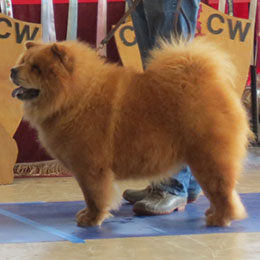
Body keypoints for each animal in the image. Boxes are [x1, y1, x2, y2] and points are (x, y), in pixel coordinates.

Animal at [10, 37, 252, 226]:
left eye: (36, 68)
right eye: (22, 62)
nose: (13, 70)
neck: (77, 96)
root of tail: (213, 84)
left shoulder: (90, 167)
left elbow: (94, 196)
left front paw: (91, 219)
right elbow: (92, 196)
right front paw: (87, 215)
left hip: (209, 158)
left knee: (222, 191)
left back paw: (219, 219)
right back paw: (212, 212)